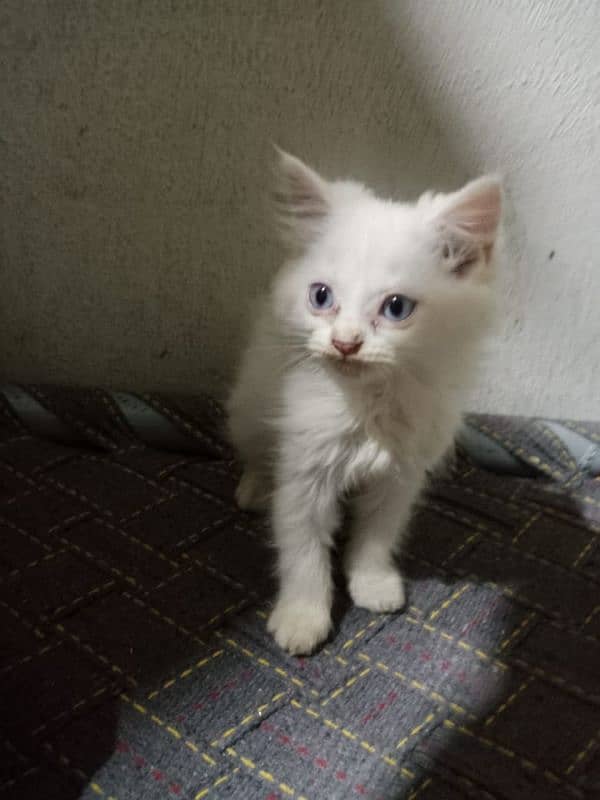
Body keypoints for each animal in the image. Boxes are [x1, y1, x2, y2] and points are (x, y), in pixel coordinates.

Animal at [227, 152, 500, 656]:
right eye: (321, 297)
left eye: (395, 308)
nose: (345, 343)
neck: (366, 405)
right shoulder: (305, 474)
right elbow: (303, 552)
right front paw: (302, 618)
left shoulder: (401, 477)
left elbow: (376, 536)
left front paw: (372, 583)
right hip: (249, 405)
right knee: (255, 450)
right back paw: (255, 487)